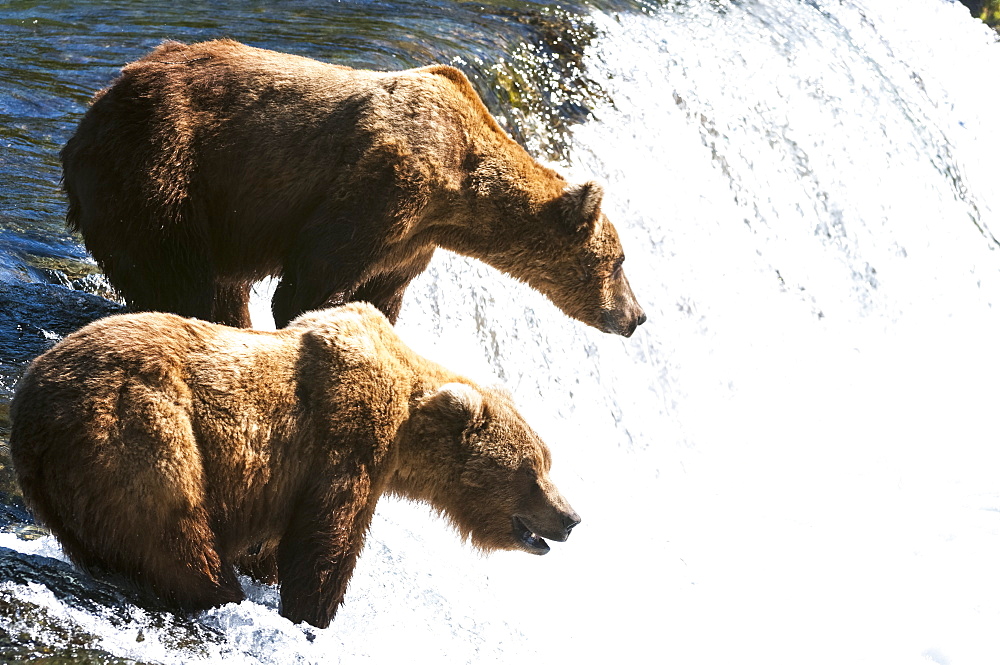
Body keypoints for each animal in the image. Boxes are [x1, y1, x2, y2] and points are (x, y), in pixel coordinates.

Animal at [7, 304, 584, 624]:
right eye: (532, 471)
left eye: (546, 463)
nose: (572, 517)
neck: (407, 420)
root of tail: (30, 398)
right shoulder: (348, 441)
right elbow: (327, 540)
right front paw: (313, 615)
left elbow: (277, 544)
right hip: (141, 430)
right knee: (175, 531)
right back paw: (220, 594)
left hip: (68, 481)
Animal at [60, 39, 648, 334]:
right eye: (619, 261)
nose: (637, 316)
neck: (459, 196)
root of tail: (91, 114)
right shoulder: (384, 188)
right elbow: (309, 286)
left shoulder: (410, 242)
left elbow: (382, 293)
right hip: (164, 168)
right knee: (182, 274)